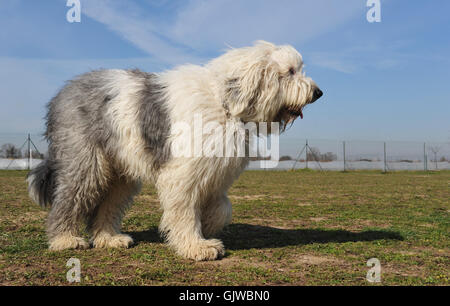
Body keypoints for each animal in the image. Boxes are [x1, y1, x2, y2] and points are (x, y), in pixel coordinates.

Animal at [28, 41, 322, 260]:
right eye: (290, 71)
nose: (318, 93)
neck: (224, 102)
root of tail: (62, 93)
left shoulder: (215, 173)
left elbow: (223, 207)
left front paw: (209, 225)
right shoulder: (183, 173)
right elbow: (184, 209)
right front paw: (197, 246)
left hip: (120, 172)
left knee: (108, 203)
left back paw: (109, 239)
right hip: (86, 161)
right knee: (69, 198)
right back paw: (65, 239)